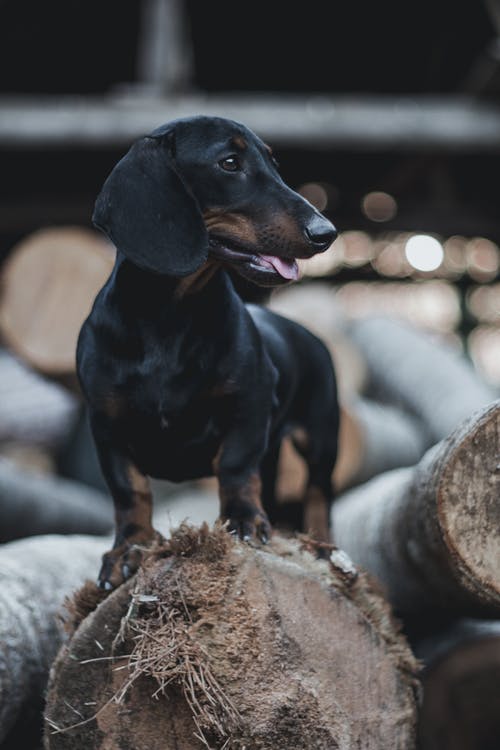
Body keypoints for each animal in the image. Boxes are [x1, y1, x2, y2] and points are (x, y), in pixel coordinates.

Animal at [77, 114, 340, 592]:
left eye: (274, 163)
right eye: (229, 163)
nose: (326, 233)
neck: (171, 314)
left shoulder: (249, 406)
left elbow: (235, 467)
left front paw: (242, 521)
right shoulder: (105, 425)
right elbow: (129, 491)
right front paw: (129, 548)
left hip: (321, 436)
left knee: (317, 493)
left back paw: (321, 543)